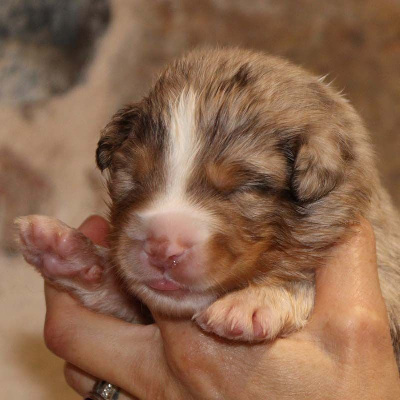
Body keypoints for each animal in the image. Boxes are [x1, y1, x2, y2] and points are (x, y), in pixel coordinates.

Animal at [15, 47, 400, 360]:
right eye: (134, 177)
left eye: (242, 187)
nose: (162, 247)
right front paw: (70, 254)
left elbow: (306, 280)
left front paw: (254, 300)